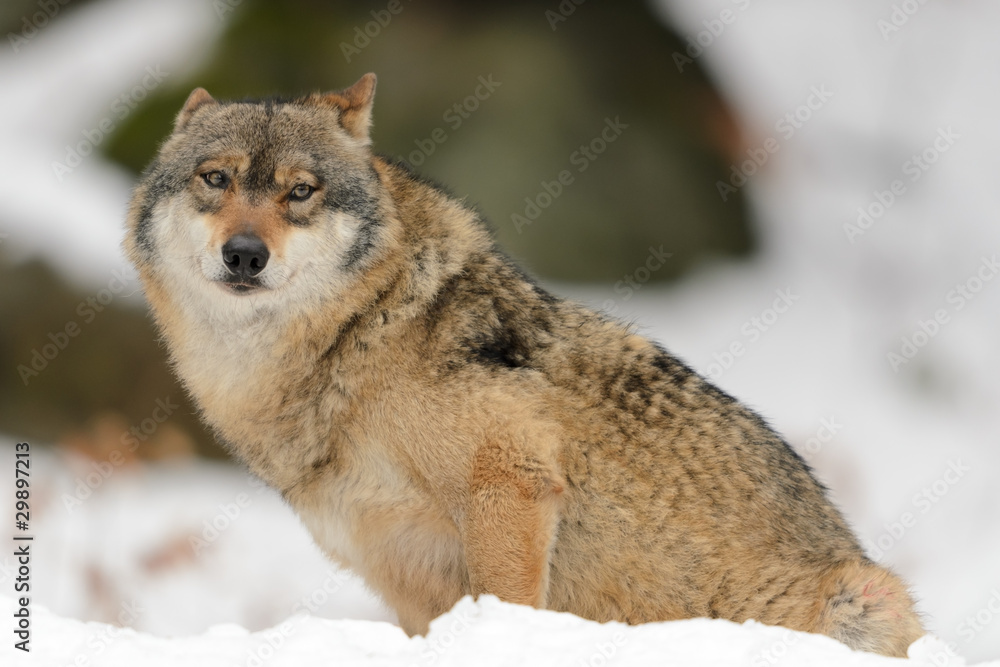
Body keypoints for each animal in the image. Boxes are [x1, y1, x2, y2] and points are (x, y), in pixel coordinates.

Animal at [124, 73, 925, 656]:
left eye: (299, 192)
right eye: (216, 179)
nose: (245, 254)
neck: (359, 335)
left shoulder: (510, 481)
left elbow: (504, 603)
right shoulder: (403, 574)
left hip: (868, 599)